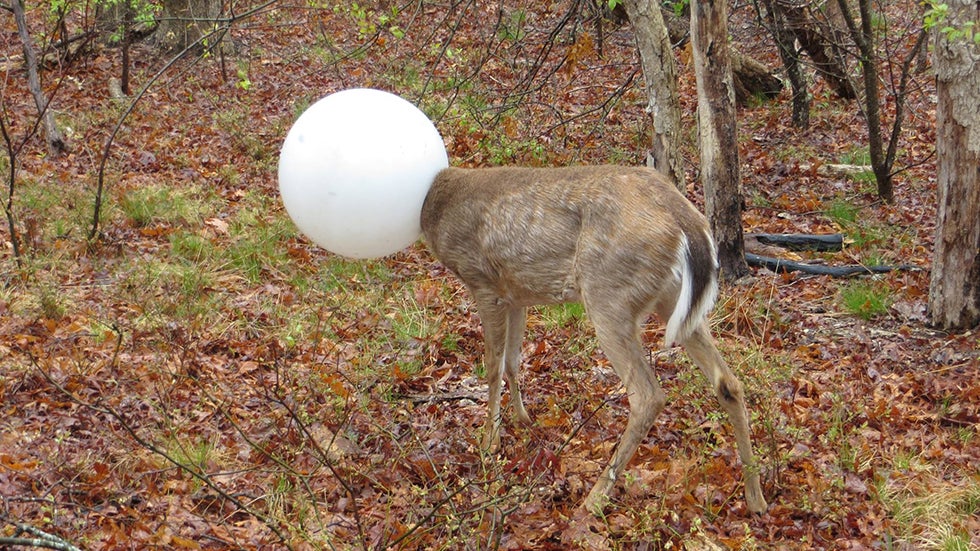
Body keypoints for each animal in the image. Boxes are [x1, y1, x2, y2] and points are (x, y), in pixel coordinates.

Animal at [420, 165, 768, 515]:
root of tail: (687, 219)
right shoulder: (516, 294)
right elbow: (512, 361)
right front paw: (523, 420)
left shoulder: (482, 281)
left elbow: (493, 366)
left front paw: (488, 442)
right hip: (671, 301)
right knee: (728, 382)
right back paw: (756, 496)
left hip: (609, 294)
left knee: (648, 395)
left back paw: (595, 497)